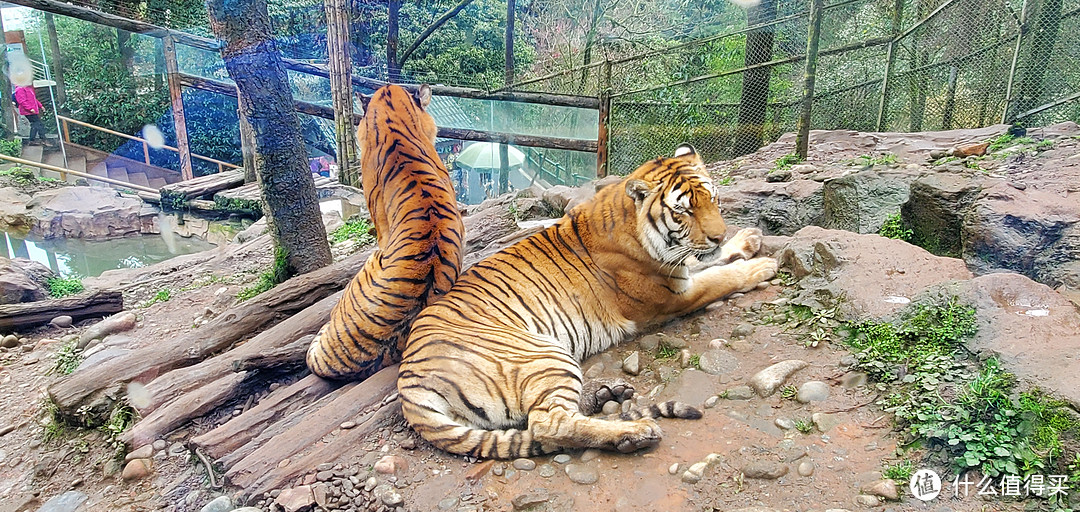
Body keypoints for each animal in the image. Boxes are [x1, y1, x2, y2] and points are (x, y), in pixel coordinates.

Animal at [397, 144, 777, 460]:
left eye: (712, 199)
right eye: (683, 211)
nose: (718, 235)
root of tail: (408, 383)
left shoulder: (681, 270)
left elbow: (711, 262)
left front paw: (748, 238)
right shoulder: (674, 293)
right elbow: (720, 277)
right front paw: (762, 266)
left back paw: (607, 395)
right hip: (544, 354)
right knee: (549, 425)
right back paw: (635, 432)